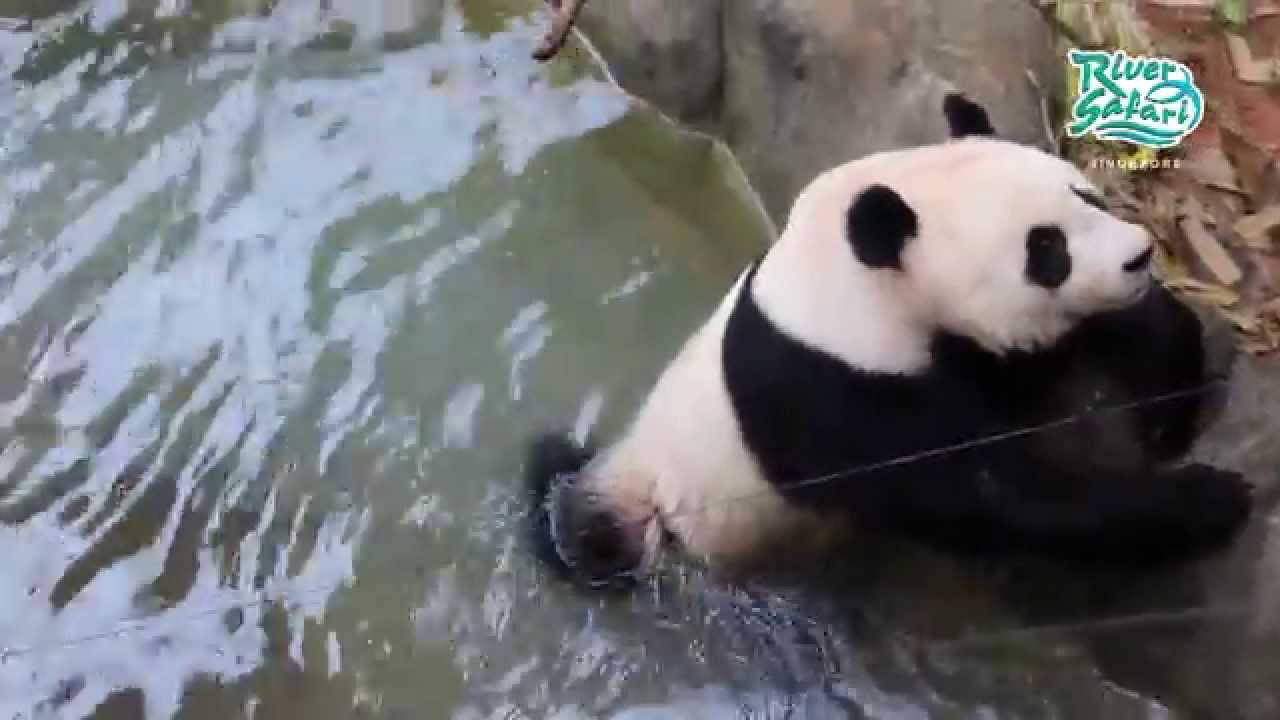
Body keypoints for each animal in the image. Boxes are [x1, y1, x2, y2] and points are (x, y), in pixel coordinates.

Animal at [524, 92, 1254, 586]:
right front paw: (1210, 499)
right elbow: (991, 497)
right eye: (1045, 251)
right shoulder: (834, 390)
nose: (1139, 256)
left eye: (1089, 198)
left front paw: (1168, 411)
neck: (847, 279)